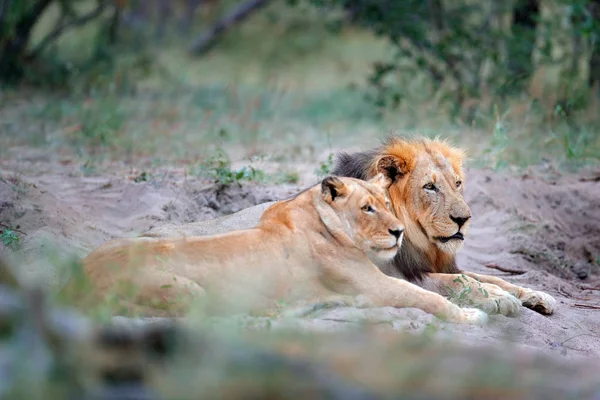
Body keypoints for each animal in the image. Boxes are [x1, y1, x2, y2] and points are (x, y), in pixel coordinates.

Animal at [70, 176, 488, 324]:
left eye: (387, 204)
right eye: (367, 208)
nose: (399, 231)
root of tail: (72, 281)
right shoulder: (373, 286)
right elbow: (429, 297)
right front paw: (471, 316)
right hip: (188, 290)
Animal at [330, 136, 556, 318]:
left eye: (457, 184)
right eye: (430, 187)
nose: (464, 218)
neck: (419, 242)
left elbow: (485, 276)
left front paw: (535, 294)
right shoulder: (386, 274)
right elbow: (454, 281)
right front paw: (497, 297)